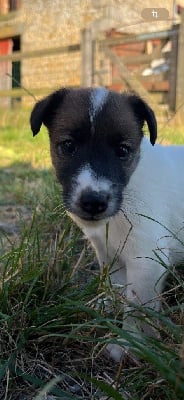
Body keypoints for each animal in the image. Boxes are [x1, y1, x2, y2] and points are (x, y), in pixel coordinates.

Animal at [30, 88, 184, 362]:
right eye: (68, 145)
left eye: (122, 150)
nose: (93, 201)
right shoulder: (108, 253)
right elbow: (117, 284)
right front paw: (109, 305)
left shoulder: (147, 261)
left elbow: (136, 308)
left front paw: (129, 344)